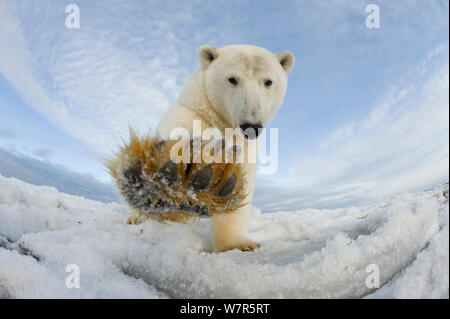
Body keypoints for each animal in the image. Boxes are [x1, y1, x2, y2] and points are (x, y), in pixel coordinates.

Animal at [110, 44, 294, 252]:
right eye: (232, 79)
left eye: (268, 82)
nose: (251, 126)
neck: (219, 121)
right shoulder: (189, 117)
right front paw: (177, 181)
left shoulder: (244, 146)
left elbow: (237, 181)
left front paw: (238, 244)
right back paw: (136, 215)